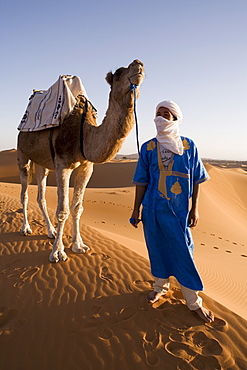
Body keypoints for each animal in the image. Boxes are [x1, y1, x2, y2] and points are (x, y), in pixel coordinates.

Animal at [16, 59, 145, 264]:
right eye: (118, 73)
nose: (138, 63)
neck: (84, 133)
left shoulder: (86, 167)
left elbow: (77, 207)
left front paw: (78, 245)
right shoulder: (63, 165)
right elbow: (62, 210)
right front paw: (57, 253)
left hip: (42, 163)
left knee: (41, 196)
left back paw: (51, 231)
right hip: (22, 154)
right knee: (24, 193)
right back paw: (26, 228)